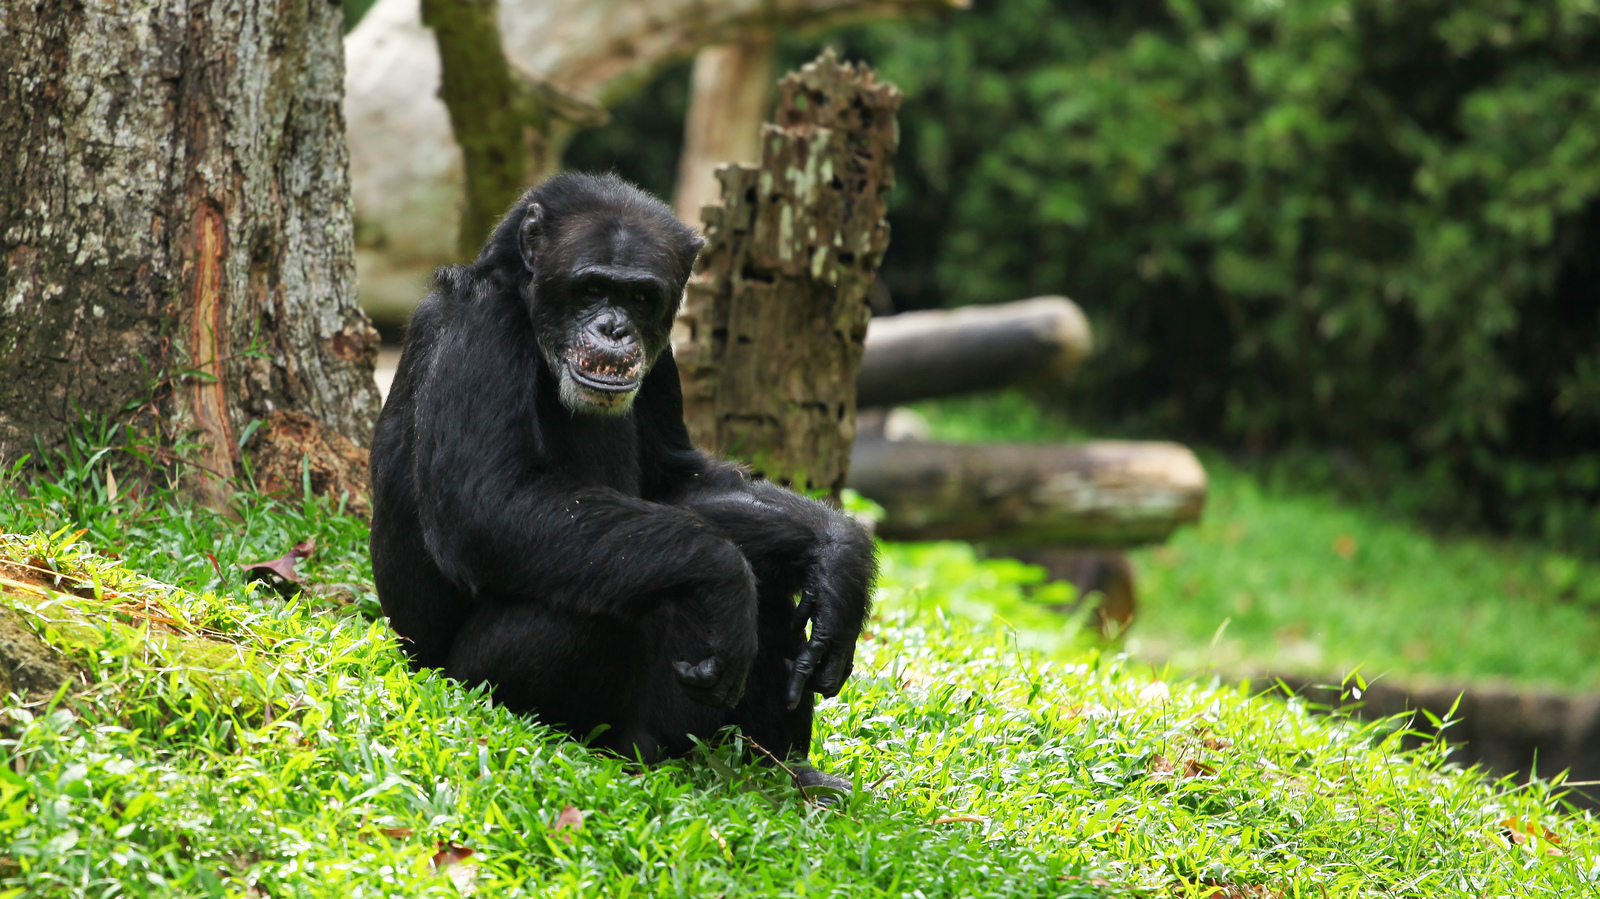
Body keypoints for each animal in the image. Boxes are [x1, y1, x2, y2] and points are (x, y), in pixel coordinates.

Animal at [366, 171, 876, 787]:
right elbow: (486, 503)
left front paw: (837, 554)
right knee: (589, 597)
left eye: (639, 297)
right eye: (590, 289)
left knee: (768, 581)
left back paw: (783, 769)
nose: (614, 329)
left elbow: (674, 481)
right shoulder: (477, 325)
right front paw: (723, 576)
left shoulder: (666, 362)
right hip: (475, 682)